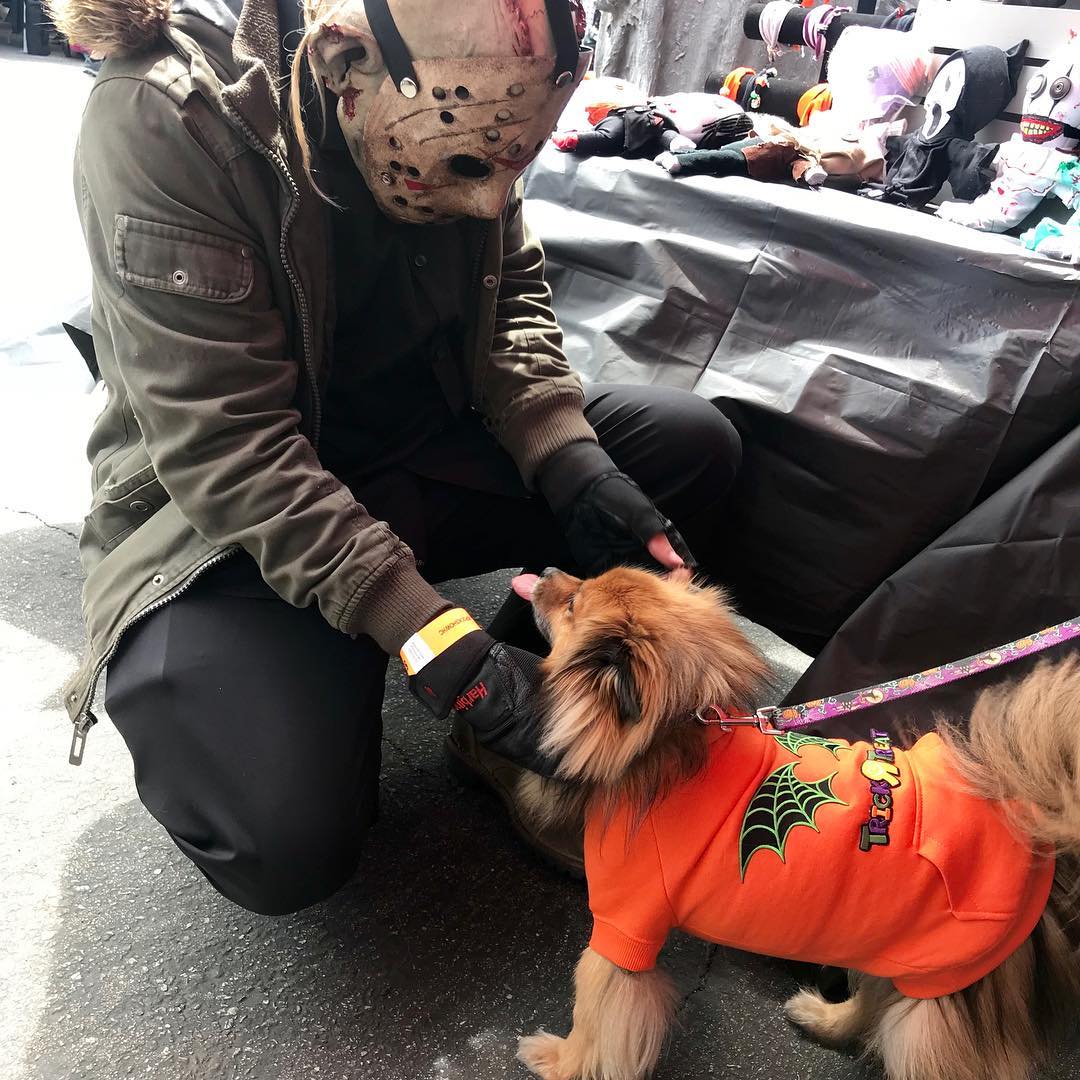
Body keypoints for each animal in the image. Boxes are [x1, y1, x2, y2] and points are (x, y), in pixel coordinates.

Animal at [509, 570, 1080, 1075]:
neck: (671, 743)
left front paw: (561, 1062)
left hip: (934, 1003)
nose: (548, 570)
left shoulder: (623, 928)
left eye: (573, 602)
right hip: (895, 952)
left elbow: (597, 1016)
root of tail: (1034, 832)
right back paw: (823, 1018)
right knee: (873, 1003)